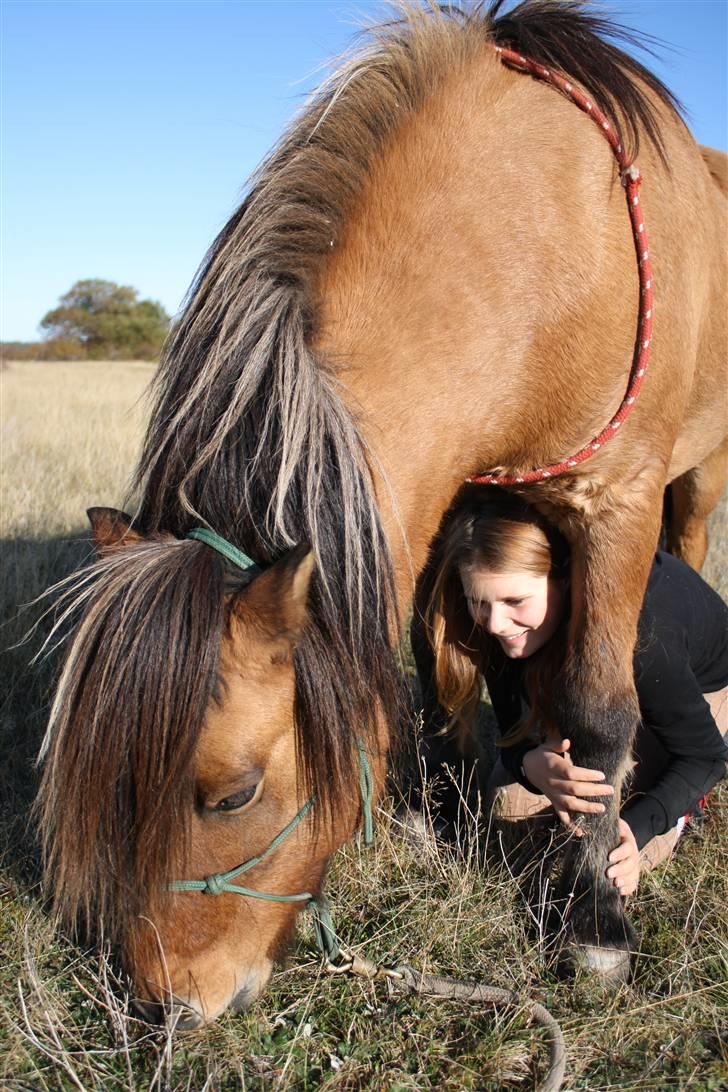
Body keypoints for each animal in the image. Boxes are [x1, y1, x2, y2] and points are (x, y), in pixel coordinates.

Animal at [37, 0, 724, 1026]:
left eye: (232, 795)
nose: (171, 1003)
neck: (542, 241)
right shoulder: (448, 505)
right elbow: (434, 681)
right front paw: (445, 818)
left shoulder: (618, 502)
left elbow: (603, 716)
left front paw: (597, 920)